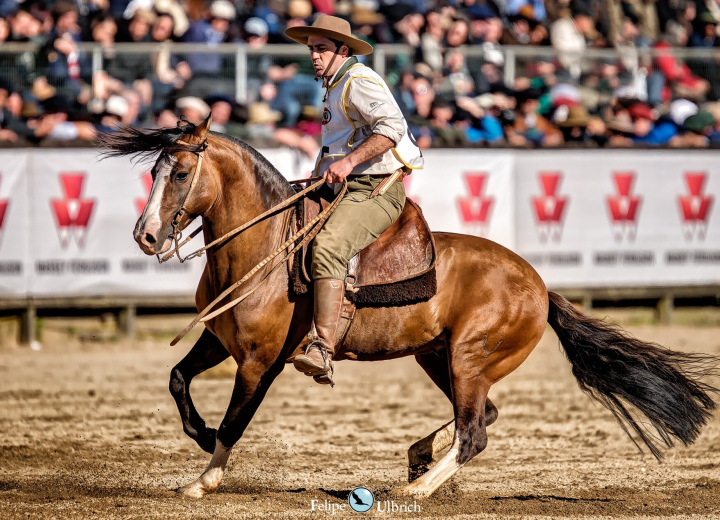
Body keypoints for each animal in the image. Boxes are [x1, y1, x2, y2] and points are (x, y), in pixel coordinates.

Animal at [98, 118, 716, 500]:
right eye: (152, 172)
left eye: (180, 173)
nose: (145, 236)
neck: (266, 246)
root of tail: (541, 287)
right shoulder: (218, 340)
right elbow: (178, 380)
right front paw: (200, 439)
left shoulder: (259, 360)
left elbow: (234, 420)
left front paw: (204, 478)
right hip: (438, 359)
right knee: (483, 417)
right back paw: (420, 457)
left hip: (470, 359)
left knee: (475, 431)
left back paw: (416, 488)